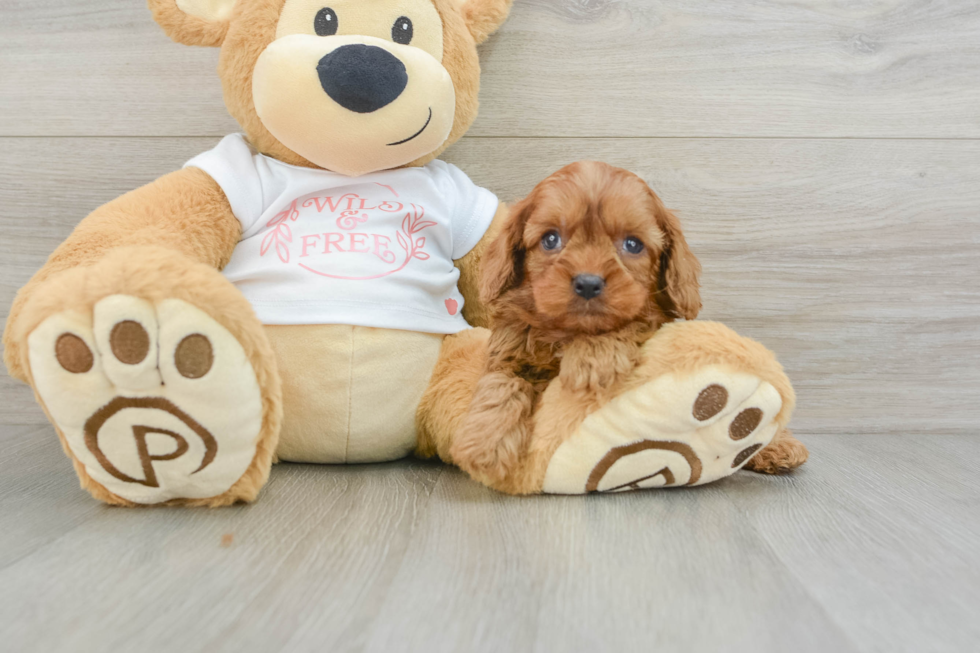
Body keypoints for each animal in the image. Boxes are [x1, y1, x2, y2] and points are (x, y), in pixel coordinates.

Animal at [452, 160, 704, 482]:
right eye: (550, 239)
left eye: (633, 244)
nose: (588, 284)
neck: (567, 333)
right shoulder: (507, 353)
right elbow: (501, 384)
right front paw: (485, 444)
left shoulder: (652, 320)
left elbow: (630, 322)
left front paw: (593, 357)